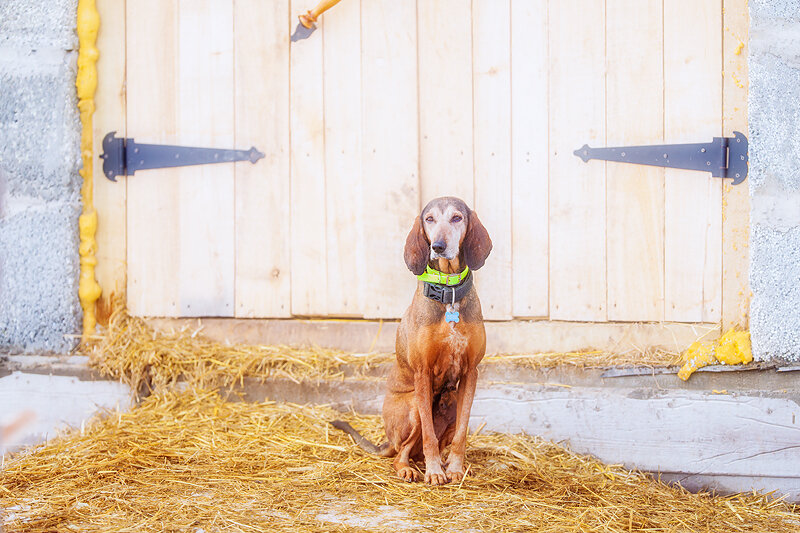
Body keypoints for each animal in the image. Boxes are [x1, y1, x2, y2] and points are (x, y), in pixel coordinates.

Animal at [330, 195, 488, 482]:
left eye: (457, 217)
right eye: (429, 219)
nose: (438, 246)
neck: (448, 291)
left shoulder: (471, 372)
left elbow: (462, 432)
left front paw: (455, 468)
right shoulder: (423, 373)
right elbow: (428, 435)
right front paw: (435, 472)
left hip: (450, 405)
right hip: (413, 404)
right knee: (402, 452)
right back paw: (409, 467)